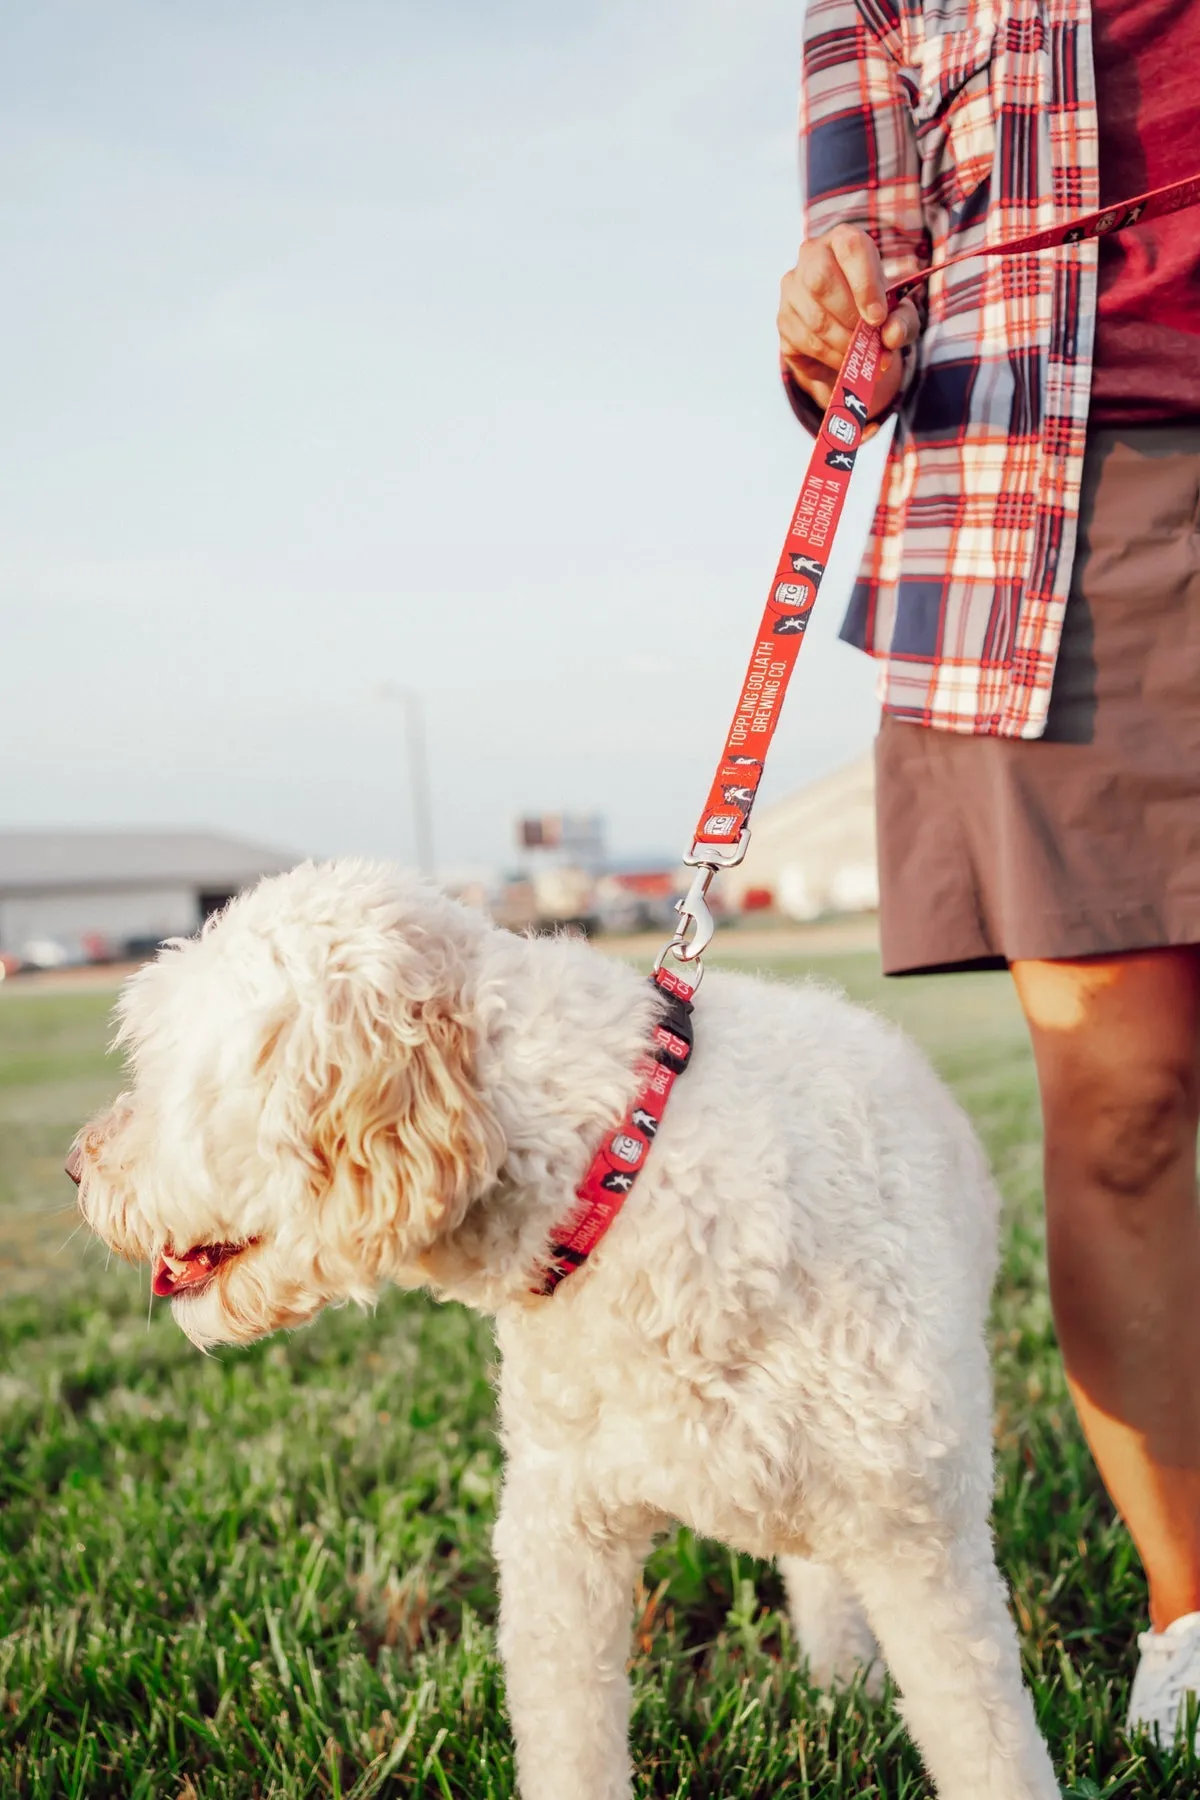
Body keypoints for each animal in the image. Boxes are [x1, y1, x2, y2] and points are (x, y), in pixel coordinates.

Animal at [75, 860, 1057, 1800]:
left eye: (162, 1071)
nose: (75, 1171)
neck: (626, 1170)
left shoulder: (921, 1540)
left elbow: (990, 1747)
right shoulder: (563, 1533)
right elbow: (570, 1743)